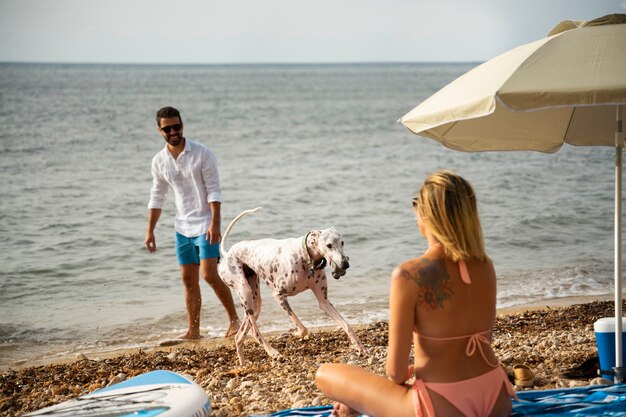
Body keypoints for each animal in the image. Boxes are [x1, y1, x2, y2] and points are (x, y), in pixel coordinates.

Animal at [218, 206, 368, 362]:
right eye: (329, 245)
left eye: (342, 242)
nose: (345, 264)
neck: (305, 256)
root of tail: (227, 253)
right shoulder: (278, 295)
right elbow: (303, 328)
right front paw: (293, 332)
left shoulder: (324, 302)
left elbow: (346, 325)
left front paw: (360, 347)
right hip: (245, 291)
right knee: (255, 331)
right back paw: (272, 352)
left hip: (255, 301)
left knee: (240, 335)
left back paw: (243, 362)